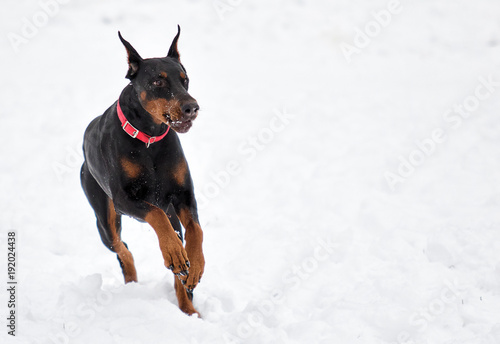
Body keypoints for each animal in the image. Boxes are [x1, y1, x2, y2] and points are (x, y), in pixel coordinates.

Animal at [79, 26, 203, 318]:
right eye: (158, 82)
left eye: (185, 80)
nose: (192, 107)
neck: (150, 139)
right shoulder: (125, 199)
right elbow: (154, 214)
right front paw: (174, 253)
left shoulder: (184, 195)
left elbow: (196, 230)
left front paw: (196, 264)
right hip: (105, 217)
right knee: (121, 247)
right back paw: (137, 276)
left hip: (172, 214)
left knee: (177, 260)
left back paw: (188, 306)